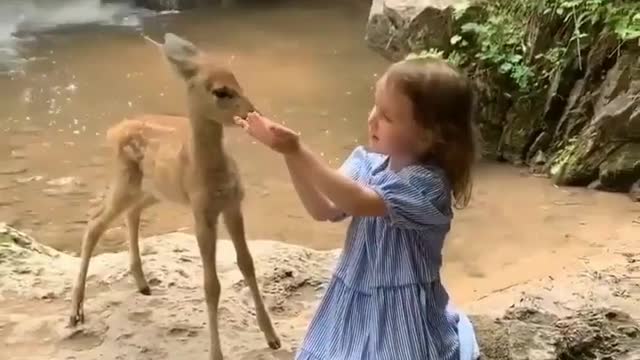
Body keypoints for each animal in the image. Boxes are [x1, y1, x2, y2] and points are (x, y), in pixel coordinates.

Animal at [69, 32, 282, 358]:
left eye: (237, 78)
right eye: (220, 91)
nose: (253, 113)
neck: (212, 174)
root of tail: (113, 130)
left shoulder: (233, 204)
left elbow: (247, 264)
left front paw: (272, 337)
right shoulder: (201, 211)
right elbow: (211, 285)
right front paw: (216, 353)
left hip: (154, 189)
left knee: (131, 213)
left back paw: (142, 284)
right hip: (125, 180)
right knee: (95, 223)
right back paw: (75, 313)